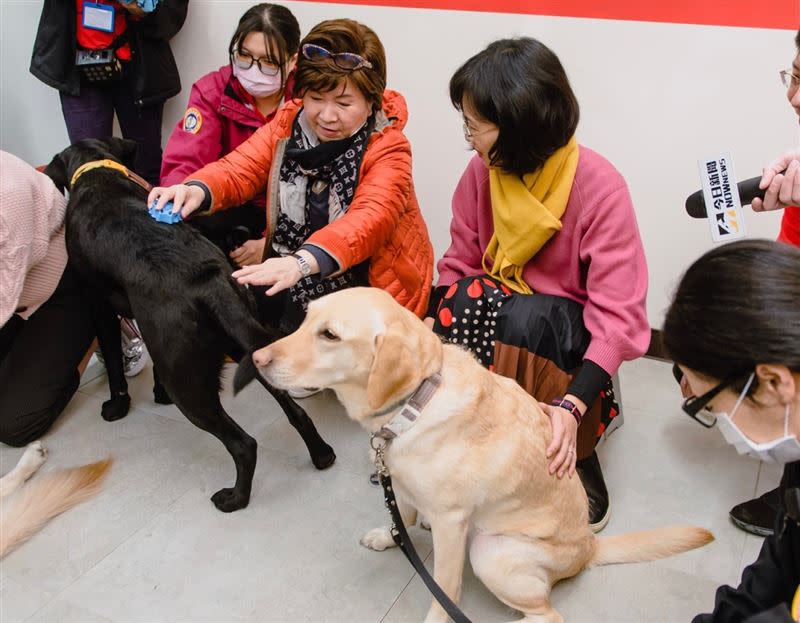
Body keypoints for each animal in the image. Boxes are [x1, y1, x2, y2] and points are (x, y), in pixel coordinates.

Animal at [42, 138, 336, 512]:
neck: (97, 172)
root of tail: (209, 282)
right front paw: (157, 394)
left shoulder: (100, 307)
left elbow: (113, 363)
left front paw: (117, 406)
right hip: (249, 347)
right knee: (296, 413)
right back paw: (321, 454)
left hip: (188, 383)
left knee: (244, 444)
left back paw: (235, 498)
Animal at [252, 288, 712, 623]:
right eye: (305, 319)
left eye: (329, 335)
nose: (256, 358)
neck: (416, 401)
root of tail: (588, 547)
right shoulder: (399, 484)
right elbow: (402, 518)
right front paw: (388, 535)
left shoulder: (451, 522)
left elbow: (444, 588)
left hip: (491, 553)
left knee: (549, 616)